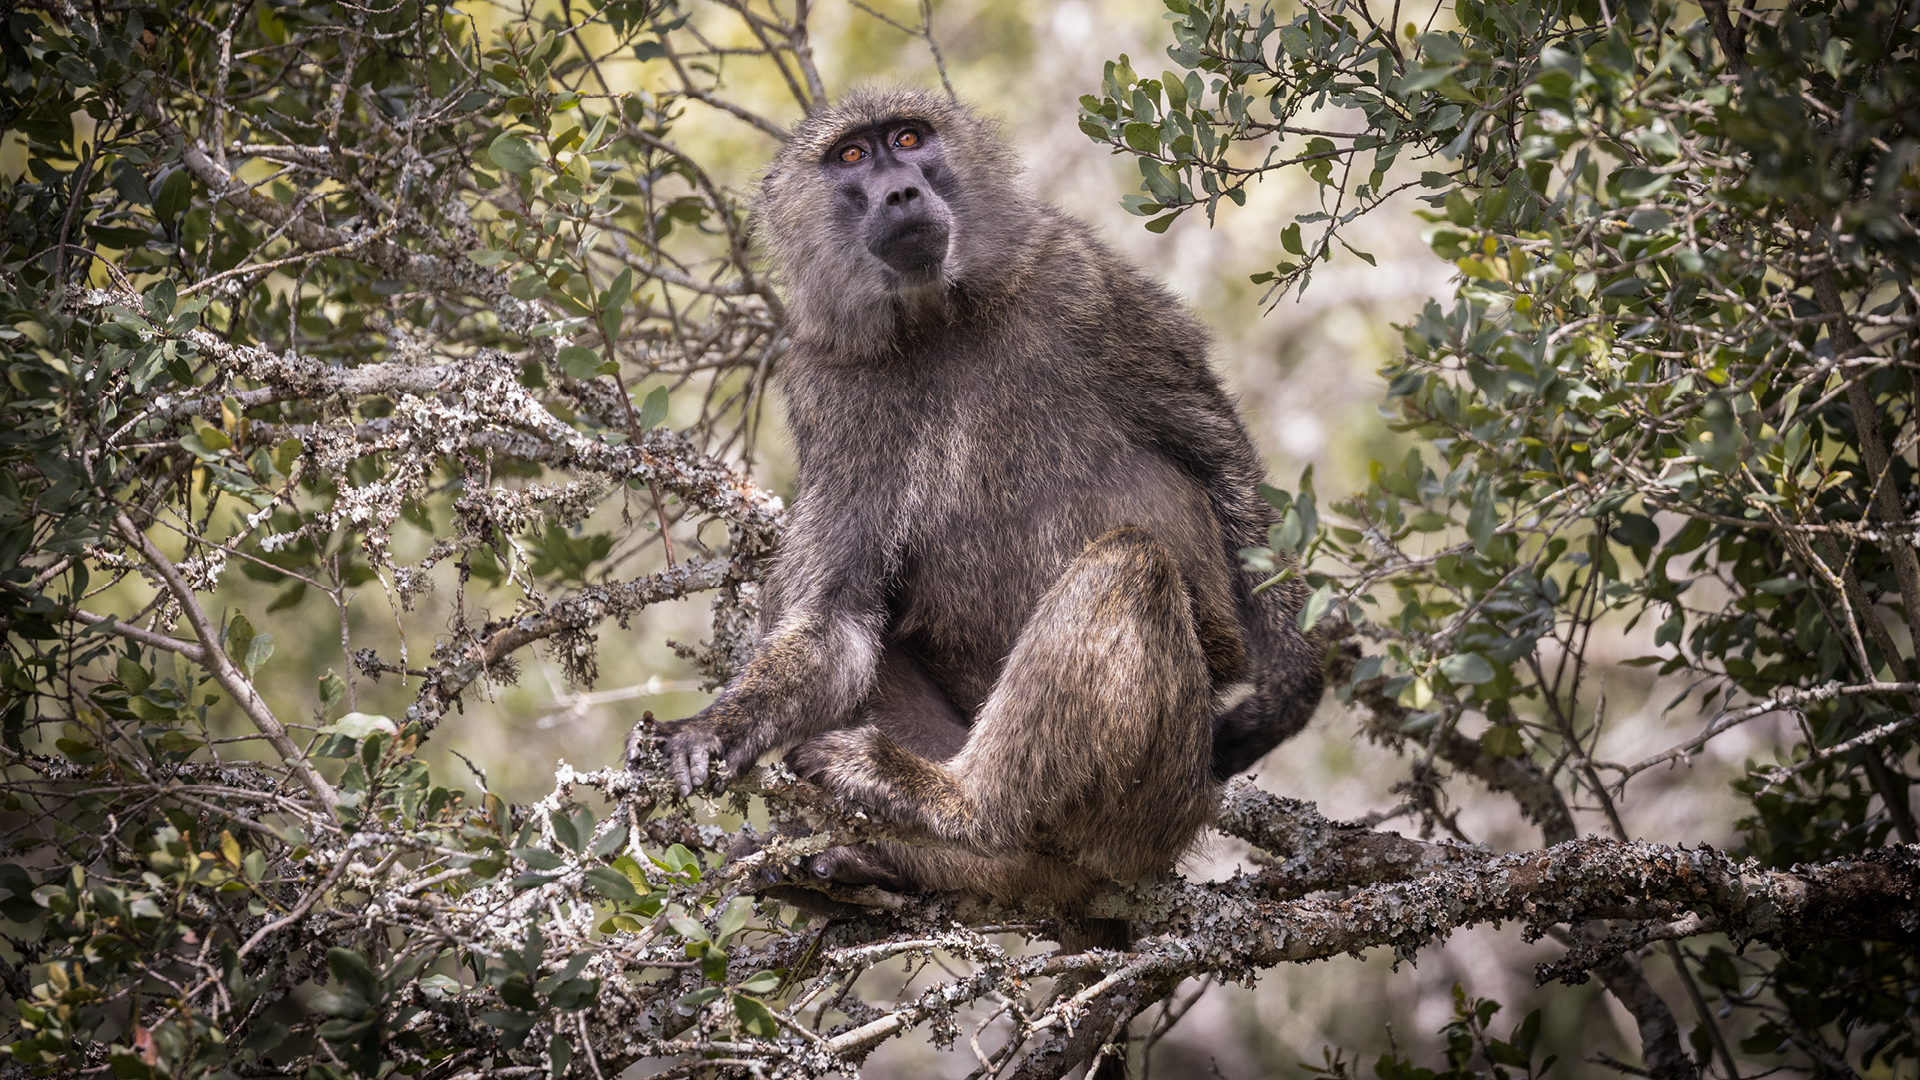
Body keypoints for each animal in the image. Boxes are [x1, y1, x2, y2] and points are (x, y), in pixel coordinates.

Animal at [629, 87, 1323, 916]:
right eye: (852, 156)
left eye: (908, 139)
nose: (901, 193)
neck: (938, 319)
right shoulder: (829, 388)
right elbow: (834, 622)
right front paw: (713, 729)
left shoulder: (1083, 282)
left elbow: (1215, 450)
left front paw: (1289, 688)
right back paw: (866, 862)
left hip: (1154, 804)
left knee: (1129, 566)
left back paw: (955, 803)